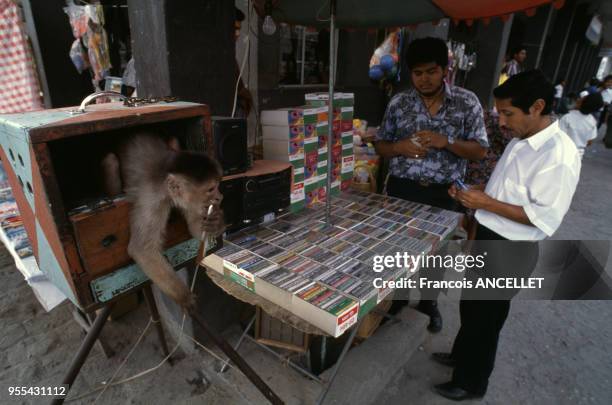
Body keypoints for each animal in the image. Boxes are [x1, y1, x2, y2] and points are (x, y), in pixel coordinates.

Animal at [101, 134, 226, 308]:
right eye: (211, 189)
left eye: (218, 186)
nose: (220, 197)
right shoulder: (152, 200)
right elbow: (142, 249)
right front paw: (185, 299)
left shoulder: (190, 201)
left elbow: (195, 228)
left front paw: (217, 222)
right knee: (110, 160)